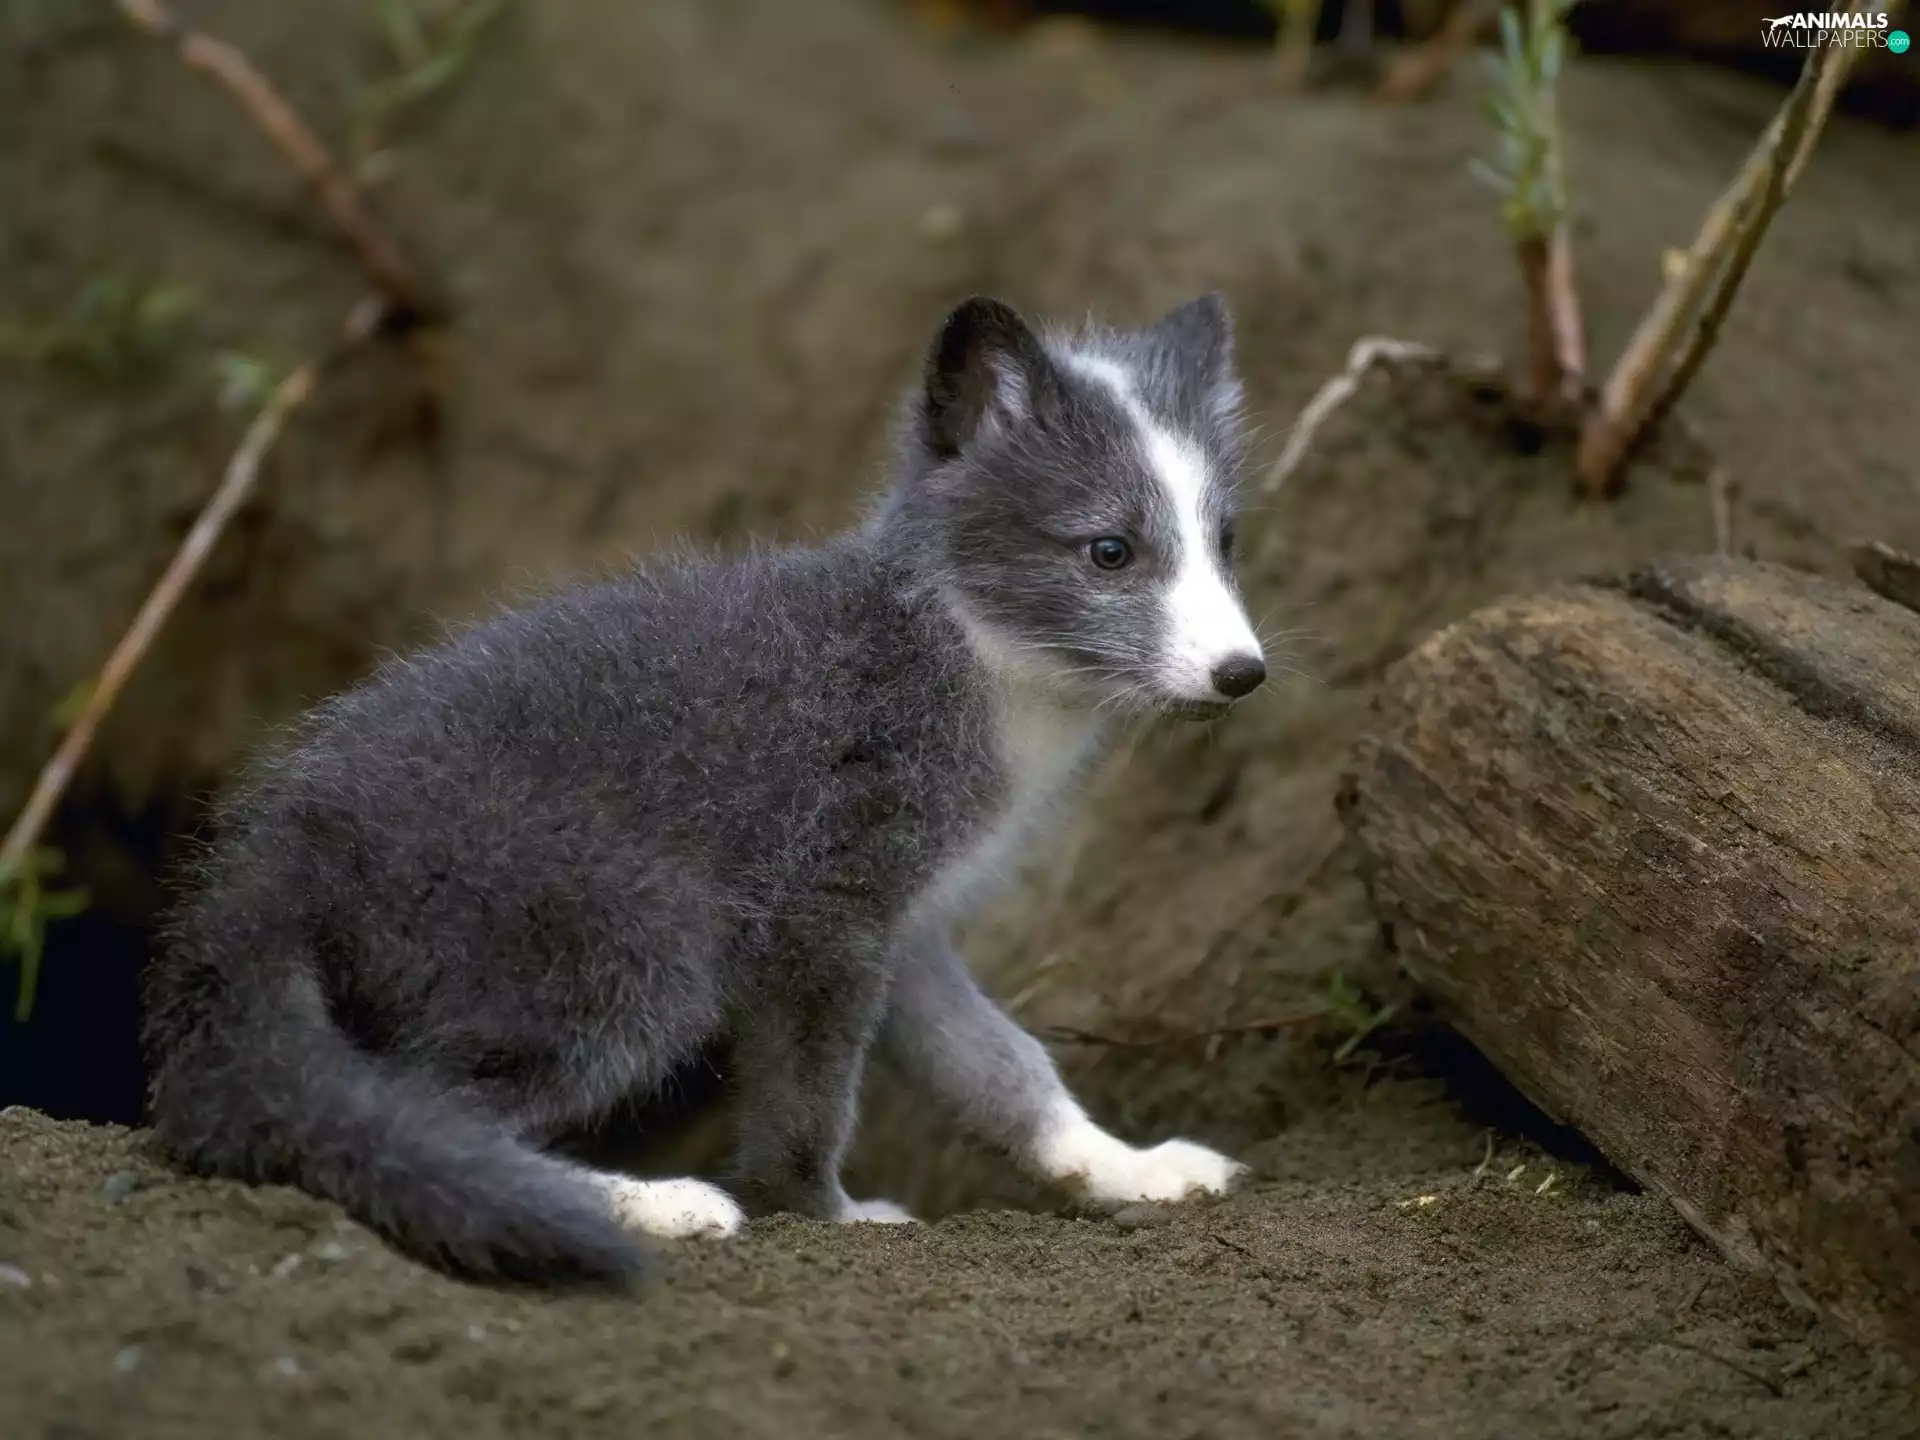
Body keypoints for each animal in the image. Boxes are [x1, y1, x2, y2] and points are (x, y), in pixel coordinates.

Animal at [141, 292, 1270, 1284]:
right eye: (1110, 551)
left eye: (1223, 542)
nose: (1243, 673)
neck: (966, 659)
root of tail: (271, 854)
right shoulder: (821, 916)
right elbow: (808, 1104)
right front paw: (827, 1216)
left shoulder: (904, 932)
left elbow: (1006, 1065)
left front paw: (1125, 1170)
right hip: (637, 941)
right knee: (435, 1107)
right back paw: (647, 1205)